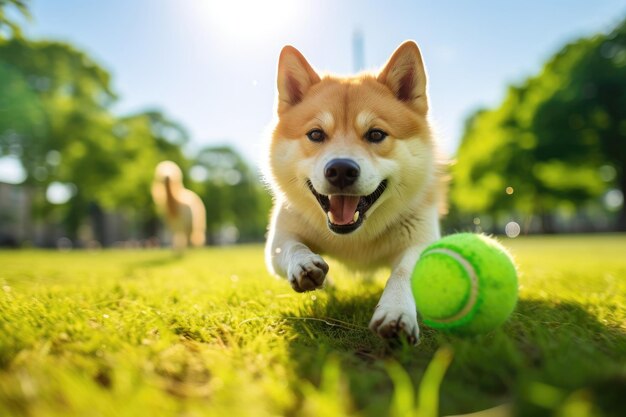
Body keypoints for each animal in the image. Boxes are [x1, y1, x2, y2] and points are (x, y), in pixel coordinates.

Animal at [264, 40, 444, 342]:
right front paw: (304, 264)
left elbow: (404, 272)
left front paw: (396, 311)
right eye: (316, 134)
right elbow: (292, 247)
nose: (340, 170)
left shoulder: (420, 239)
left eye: (375, 134)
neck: (353, 238)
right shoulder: (281, 236)